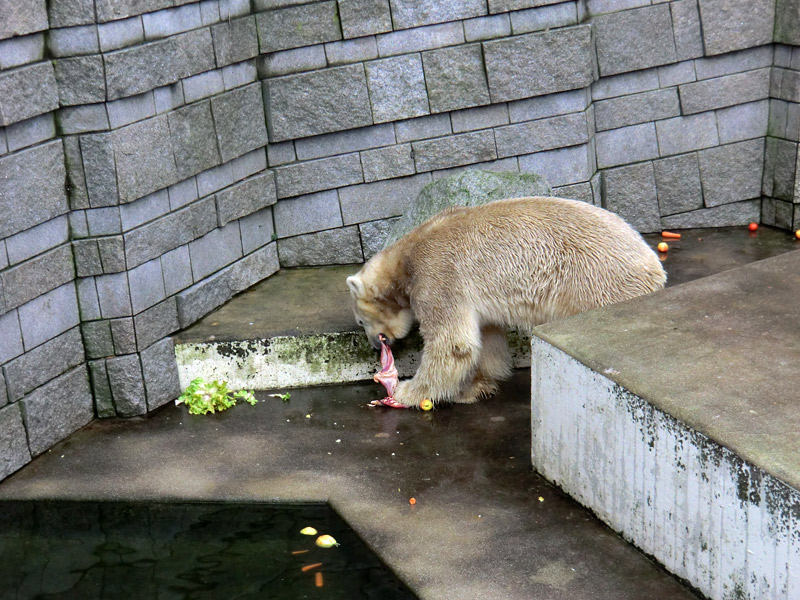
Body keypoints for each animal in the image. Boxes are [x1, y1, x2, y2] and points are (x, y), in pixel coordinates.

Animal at [346, 197, 664, 408]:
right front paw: (476, 387)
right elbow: (486, 337)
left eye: (361, 321)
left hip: (596, 281)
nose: (374, 346)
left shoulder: (437, 275)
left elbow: (452, 343)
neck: (405, 257)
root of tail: (654, 266)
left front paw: (407, 391)